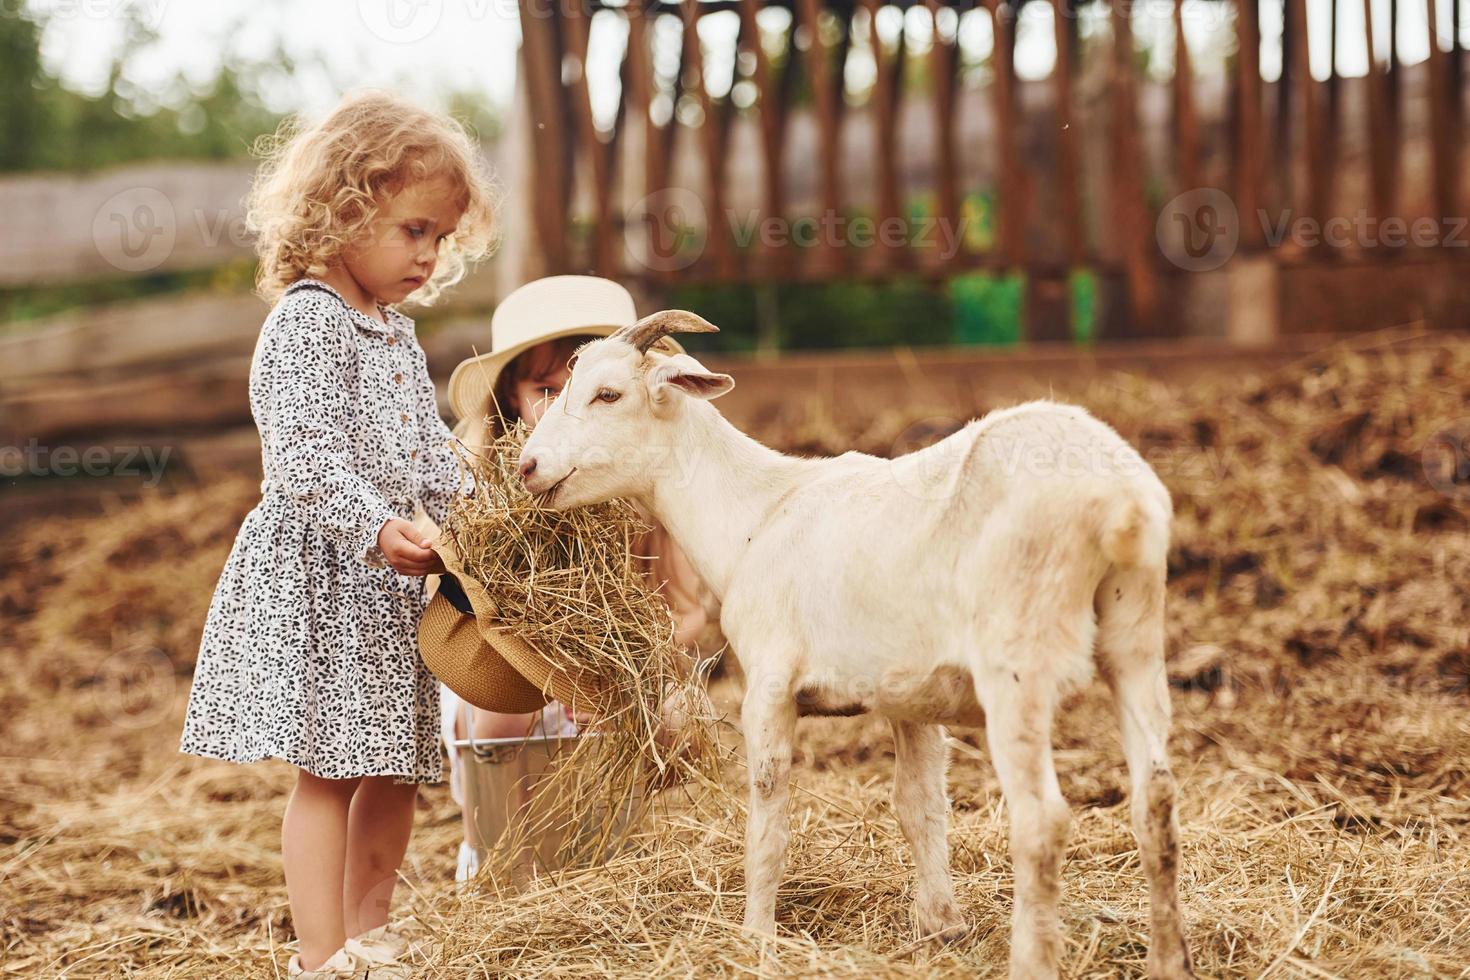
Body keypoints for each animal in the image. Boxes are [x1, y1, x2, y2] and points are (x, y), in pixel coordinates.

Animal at [517, 310, 1193, 975]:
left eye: (608, 394)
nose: (526, 467)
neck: (756, 515)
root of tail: (1121, 502)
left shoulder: (769, 682)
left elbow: (768, 813)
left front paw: (755, 937)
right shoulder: (911, 698)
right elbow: (919, 806)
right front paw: (941, 928)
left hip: (1018, 661)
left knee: (1042, 822)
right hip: (1135, 638)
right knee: (1156, 801)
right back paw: (1169, 961)